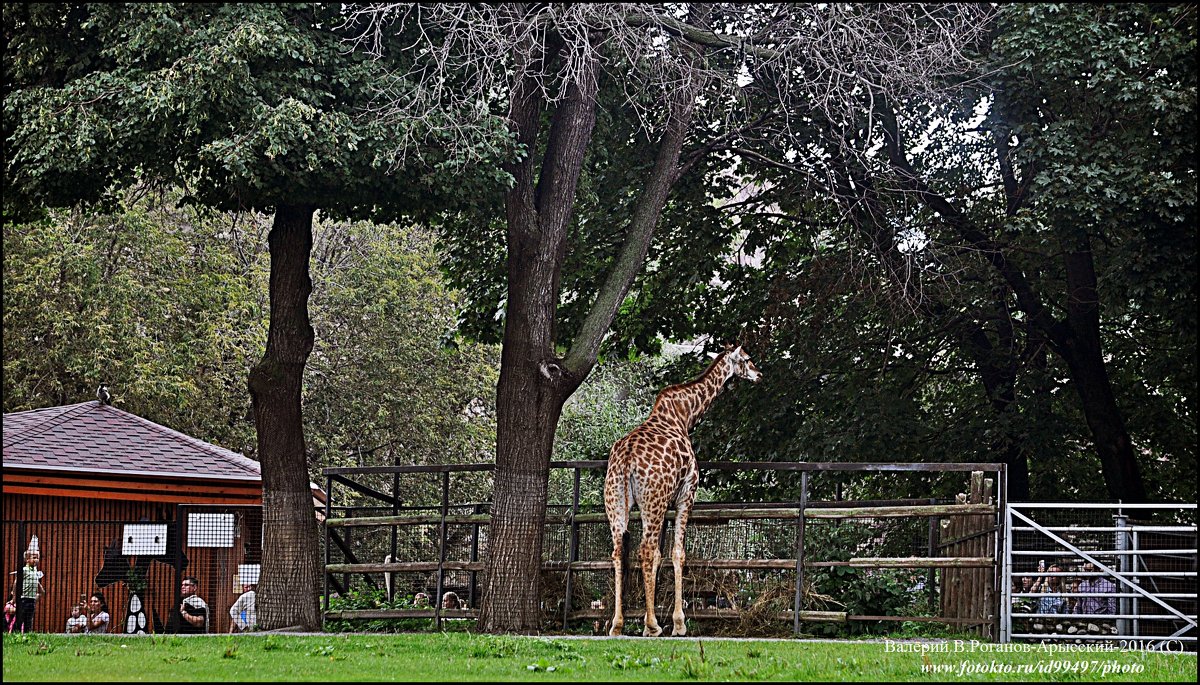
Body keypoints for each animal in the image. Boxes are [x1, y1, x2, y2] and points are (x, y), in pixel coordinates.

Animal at [604, 345, 763, 643]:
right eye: (747, 359)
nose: (759, 374)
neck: (685, 415)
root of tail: (627, 460)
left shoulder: (666, 502)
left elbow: (661, 555)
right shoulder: (686, 493)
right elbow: (677, 553)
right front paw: (677, 623)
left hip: (617, 501)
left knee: (620, 552)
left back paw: (617, 625)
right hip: (652, 500)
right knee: (645, 550)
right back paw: (654, 625)